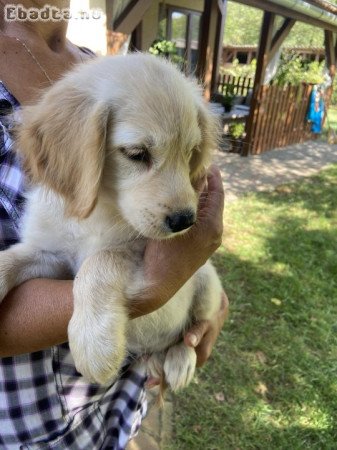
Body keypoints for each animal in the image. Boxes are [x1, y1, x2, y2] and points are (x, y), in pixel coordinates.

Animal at [0, 52, 223, 390]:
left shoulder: (138, 251)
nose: (185, 220)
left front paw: (94, 344)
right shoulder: (52, 256)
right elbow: (10, 258)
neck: (100, 211)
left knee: (193, 330)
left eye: (190, 153)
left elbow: (98, 263)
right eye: (136, 153)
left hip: (207, 281)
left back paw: (181, 360)